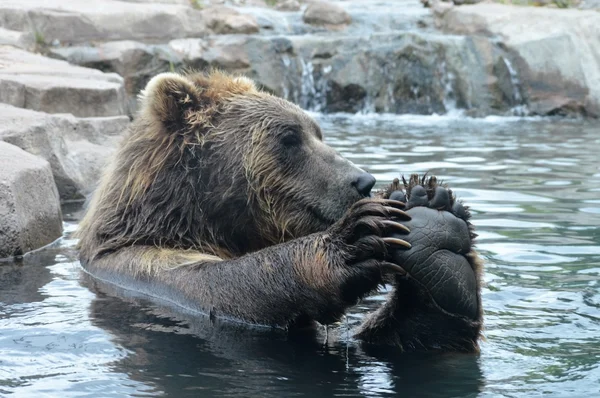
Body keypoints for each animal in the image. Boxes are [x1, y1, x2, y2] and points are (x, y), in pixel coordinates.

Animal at [78, 70, 482, 352]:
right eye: (289, 137)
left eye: (318, 132)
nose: (362, 180)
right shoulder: (146, 269)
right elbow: (224, 283)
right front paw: (359, 235)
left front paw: (430, 211)